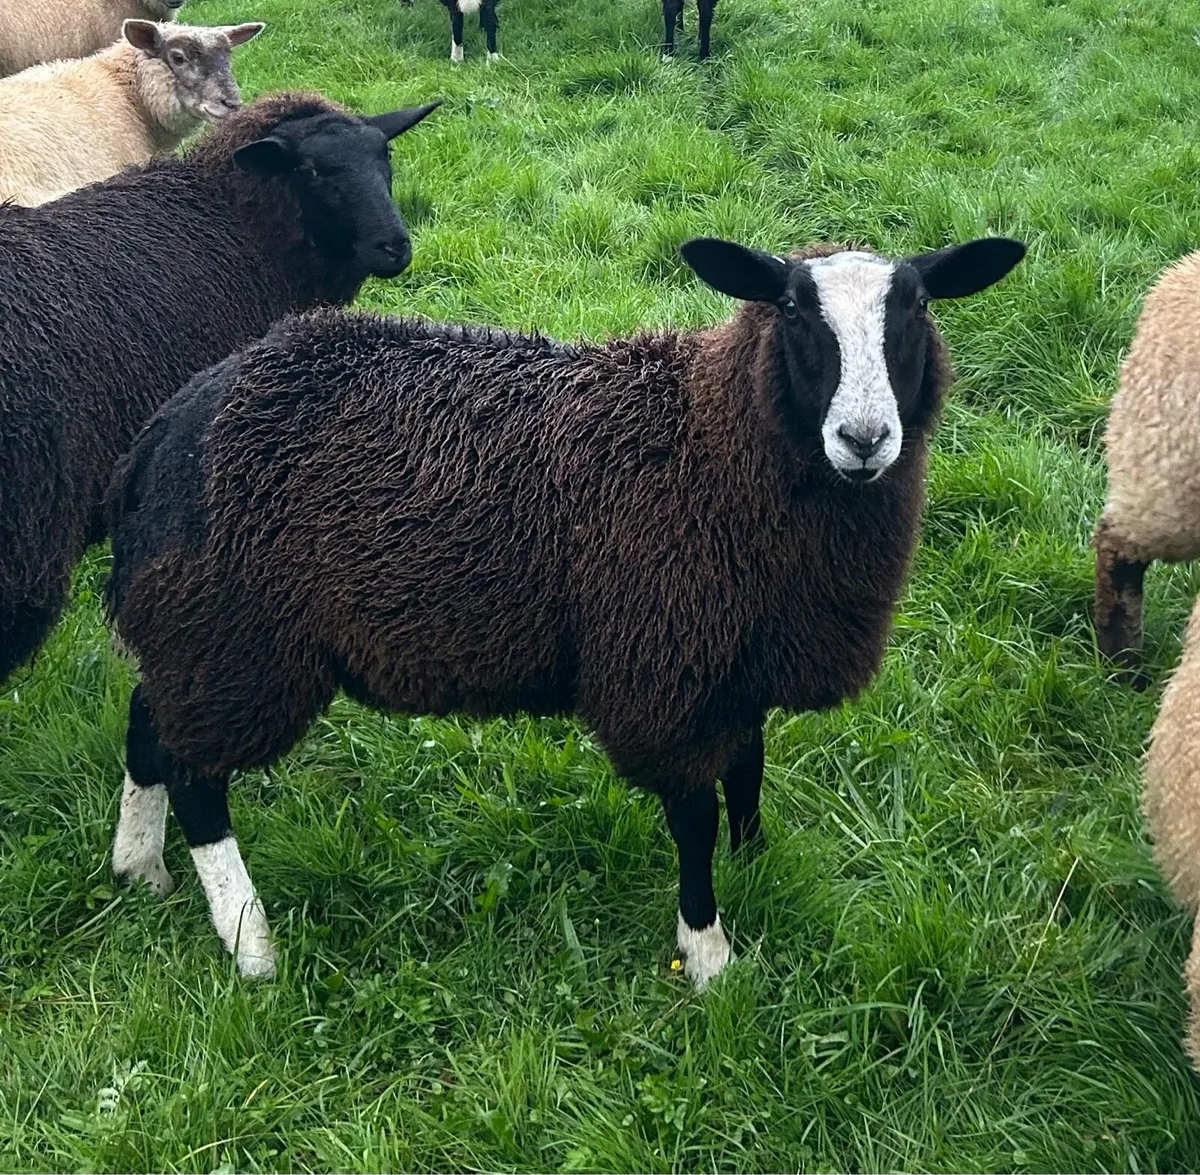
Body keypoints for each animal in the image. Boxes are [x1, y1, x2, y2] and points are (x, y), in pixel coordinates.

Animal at [105, 232, 1025, 984]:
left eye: (917, 307)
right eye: (794, 309)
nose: (865, 439)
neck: (710, 449)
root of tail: (168, 430)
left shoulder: (735, 663)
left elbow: (748, 772)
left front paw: (756, 867)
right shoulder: (666, 671)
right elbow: (694, 816)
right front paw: (709, 953)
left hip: (201, 633)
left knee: (148, 721)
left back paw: (138, 868)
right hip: (238, 636)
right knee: (197, 778)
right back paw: (251, 944)